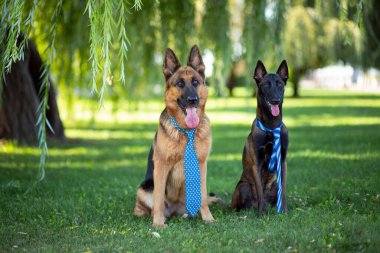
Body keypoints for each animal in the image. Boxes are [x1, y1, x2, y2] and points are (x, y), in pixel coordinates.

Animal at [134, 45, 217, 227]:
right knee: (145, 206)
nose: (193, 100)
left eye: (195, 82)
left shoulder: (202, 165)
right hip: (144, 188)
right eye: (180, 84)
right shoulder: (161, 167)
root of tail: (174, 210)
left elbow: (203, 196)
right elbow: (158, 199)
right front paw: (158, 223)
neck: (187, 131)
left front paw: (208, 218)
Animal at [230, 59, 290, 215]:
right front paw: (262, 214)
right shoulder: (255, 163)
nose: (276, 100)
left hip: (274, 185)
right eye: (266, 85)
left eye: (280, 85)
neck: (271, 126)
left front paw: (284, 211)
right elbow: (259, 192)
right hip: (242, 186)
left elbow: (284, 190)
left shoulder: (283, 162)